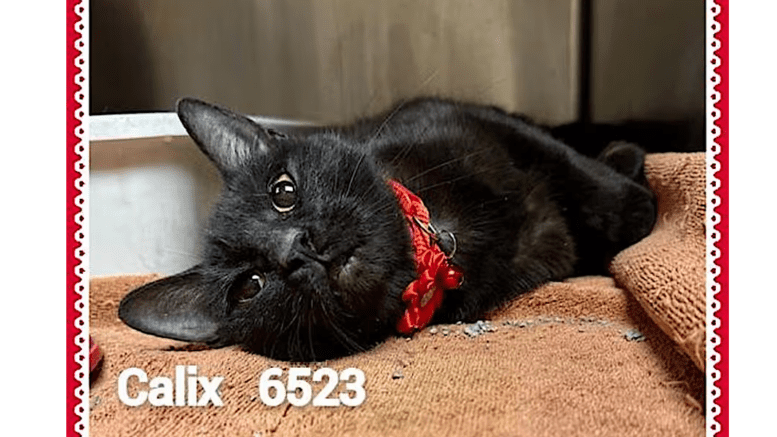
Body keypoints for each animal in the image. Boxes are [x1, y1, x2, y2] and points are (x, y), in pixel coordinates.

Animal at [119, 97, 656, 360]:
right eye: (250, 286)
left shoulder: (485, 126)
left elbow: (585, 178)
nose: (300, 249)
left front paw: (641, 207)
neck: (449, 239)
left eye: (283, 192)